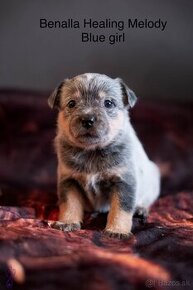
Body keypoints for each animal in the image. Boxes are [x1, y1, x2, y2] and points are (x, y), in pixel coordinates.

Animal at [48, 72, 160, 238]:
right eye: (71, 103)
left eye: (108, 103)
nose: (87, 119)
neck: (92, 151)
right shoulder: (69, 181)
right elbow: (69, 204)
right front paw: (67, 222)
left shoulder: (123, 182)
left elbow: (120, 209)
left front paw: (117, 230)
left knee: (146, 199)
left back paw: (140, 209)